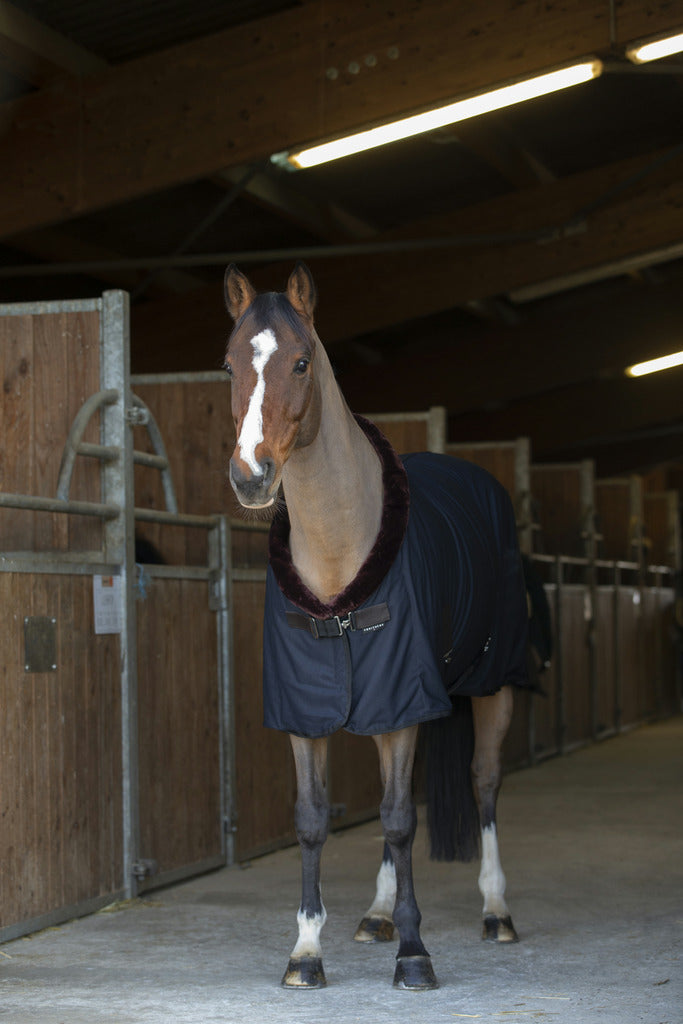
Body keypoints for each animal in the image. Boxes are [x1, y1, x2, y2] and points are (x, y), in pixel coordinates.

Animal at [222, 264, 532, 991]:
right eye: (229, 366)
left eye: (300, 362)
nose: (250, 476)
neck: (338, 562)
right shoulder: (308, 712)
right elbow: (312, 821)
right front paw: (306, 950)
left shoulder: (403, 703)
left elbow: (396, 820)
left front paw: (415, 954)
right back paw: (378, 913)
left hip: (493, 684)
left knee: (483, 782)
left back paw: (496, 911)